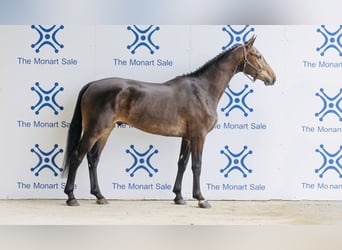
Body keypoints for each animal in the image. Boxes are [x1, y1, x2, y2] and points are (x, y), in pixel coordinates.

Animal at [62, 35, 276, 207]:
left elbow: (182, 163)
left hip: (106, 130)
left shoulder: (188, 137)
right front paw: (201, 199)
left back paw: (99, 196)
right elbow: (197, 165)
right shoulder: (199, 135)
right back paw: (71, 197)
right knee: (77, 157)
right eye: (257, 55)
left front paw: (179, 197)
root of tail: (92, 85)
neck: (203, 89)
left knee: (93, 159)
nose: (273, 78)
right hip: (94, 130)